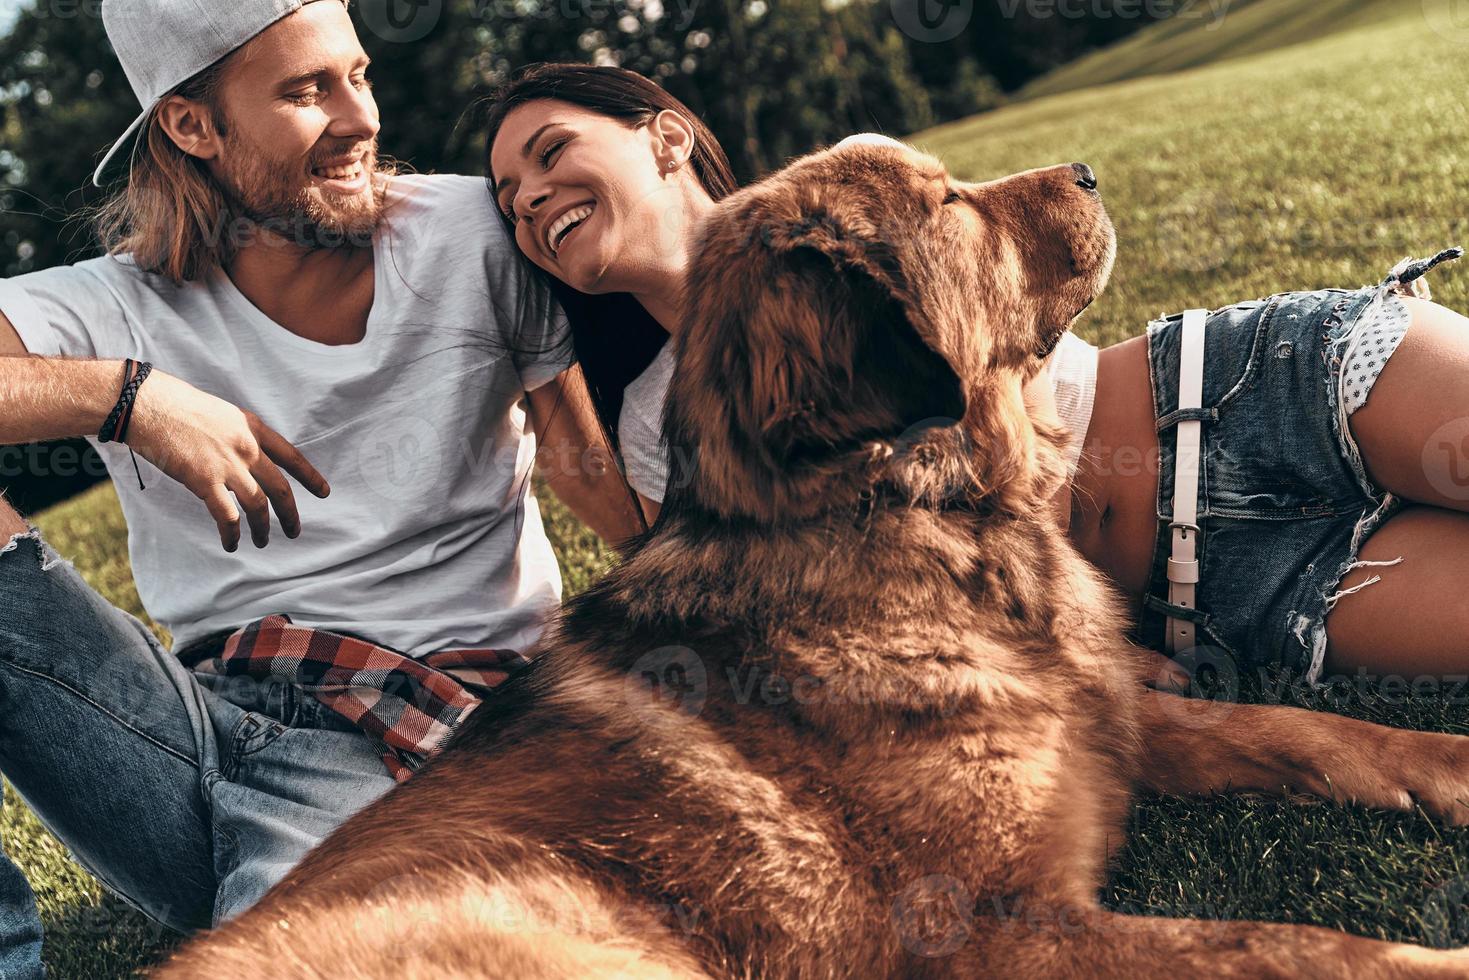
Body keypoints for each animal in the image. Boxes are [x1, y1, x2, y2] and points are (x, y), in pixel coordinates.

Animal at [157, 141, 1469, 975]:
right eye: (948, 202)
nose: (1091, 170)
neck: (909, 513)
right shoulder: (992, 931)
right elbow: (1296, 945)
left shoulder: (1115, 723)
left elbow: (1315, 729)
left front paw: (1446, 765)